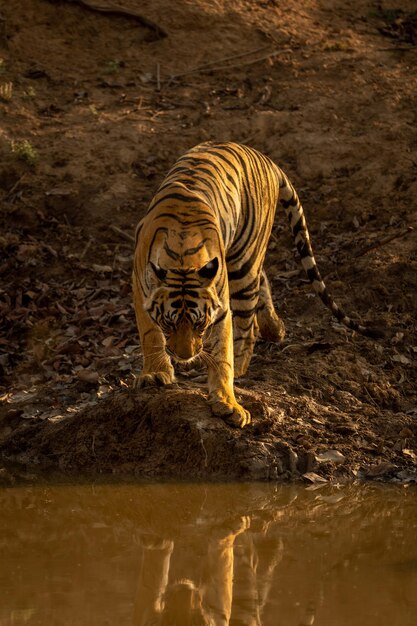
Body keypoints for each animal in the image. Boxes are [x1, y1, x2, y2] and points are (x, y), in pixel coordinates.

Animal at [132, 141, 376, 426]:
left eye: (200, 324)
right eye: (169, 324)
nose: (185, 356)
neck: (183, 258)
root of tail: (266, 159)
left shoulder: (220, 307)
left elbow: (223, 354)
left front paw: (228, 402)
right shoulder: (141, 289)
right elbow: (150, 334)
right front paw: (156, 374)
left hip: (244, 262)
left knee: (248, 325)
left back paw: (244, 363)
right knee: (263, 280)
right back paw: (275, 328)